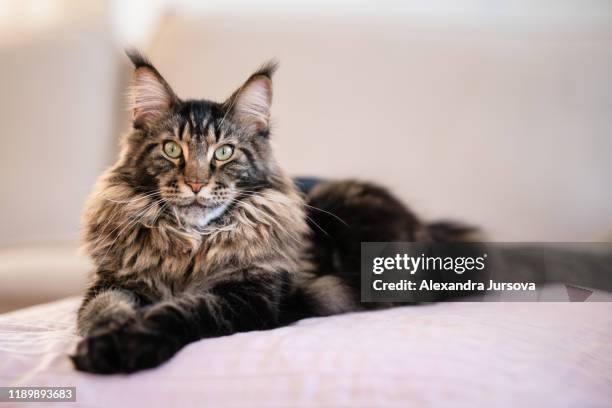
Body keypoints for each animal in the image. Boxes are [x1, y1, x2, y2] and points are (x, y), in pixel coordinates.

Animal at [71, 51, 474, 372]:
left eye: (224, 152)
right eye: (171, 149)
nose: (197, 183)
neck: (191, 244)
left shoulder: (249, 296)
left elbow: (182, 312)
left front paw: (134, 343)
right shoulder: (113, 282)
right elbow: (102, 310)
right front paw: (104, 341)